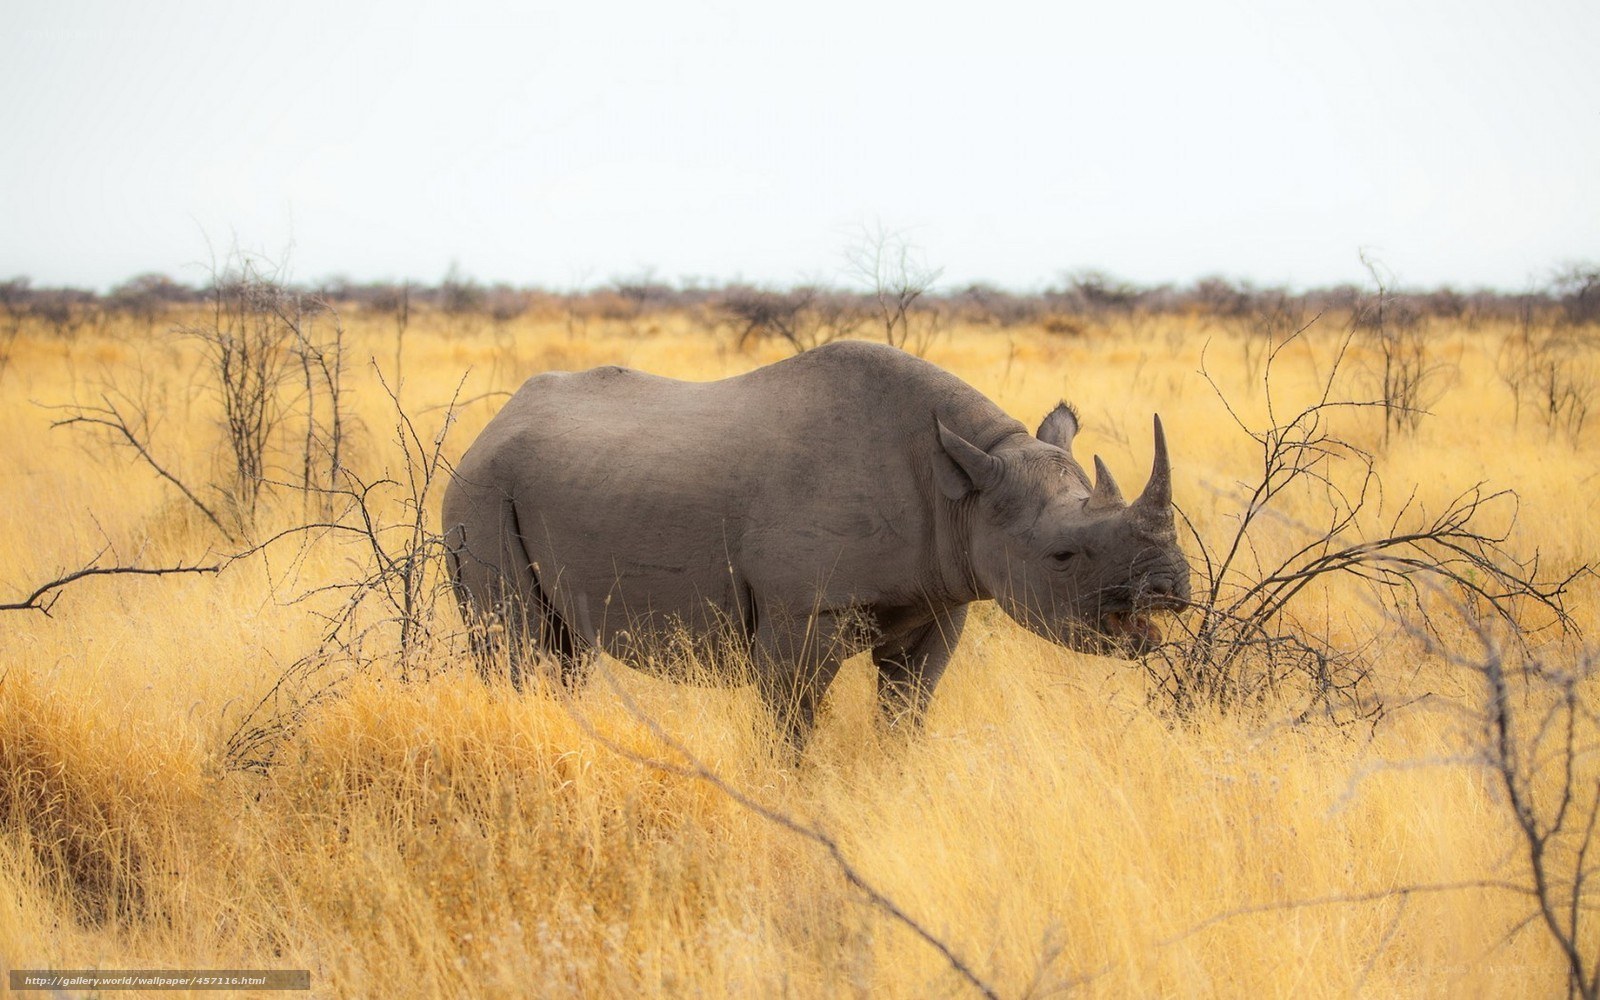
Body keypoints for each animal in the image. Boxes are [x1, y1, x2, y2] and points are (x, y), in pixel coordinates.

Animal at [442, 340, 1189, 749]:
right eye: (1063, 556)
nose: (1173, 589)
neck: (965, 490)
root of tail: (488, 428)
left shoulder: (940, 600)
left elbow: (905, 712)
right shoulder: (803, 611)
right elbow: (791, 721)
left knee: (562, 653)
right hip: (481, 492)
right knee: (517, 642)